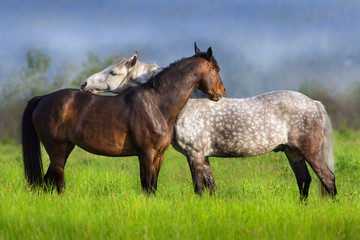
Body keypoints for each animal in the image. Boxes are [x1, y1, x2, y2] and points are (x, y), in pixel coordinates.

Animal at [21, 46, 225, 193]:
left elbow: (153, 186)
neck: (156, 103)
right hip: (56, 149)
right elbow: (147, 187)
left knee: (48, 180)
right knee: (58, 182)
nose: (221, 93)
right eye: (216, 69)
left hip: (65, 148)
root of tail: (43, 98)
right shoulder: (146, 153)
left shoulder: (159, 155)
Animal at [82, 44, 338, 200]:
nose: (84, 84)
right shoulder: (203, 156)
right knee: (304, 180)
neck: (184, 104)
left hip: (309, 151)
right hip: (292, 152)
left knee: (327, 178)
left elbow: (199, 188)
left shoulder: (195, 154)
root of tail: (314, 103)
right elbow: (211, 188)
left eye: (113, 73)